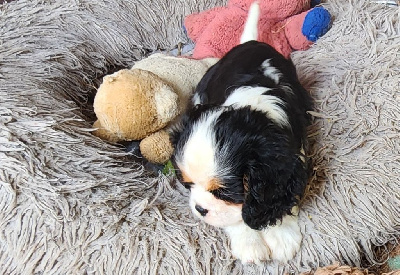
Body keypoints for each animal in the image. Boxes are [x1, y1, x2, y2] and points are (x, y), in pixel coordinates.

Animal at [172, 1, 312, 266]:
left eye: (224, 192)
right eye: (187, 183)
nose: (200, 209)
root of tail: (249, 42)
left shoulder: (292, 157)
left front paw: (282, 236)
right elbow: (234, 218)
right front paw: (249, 243)